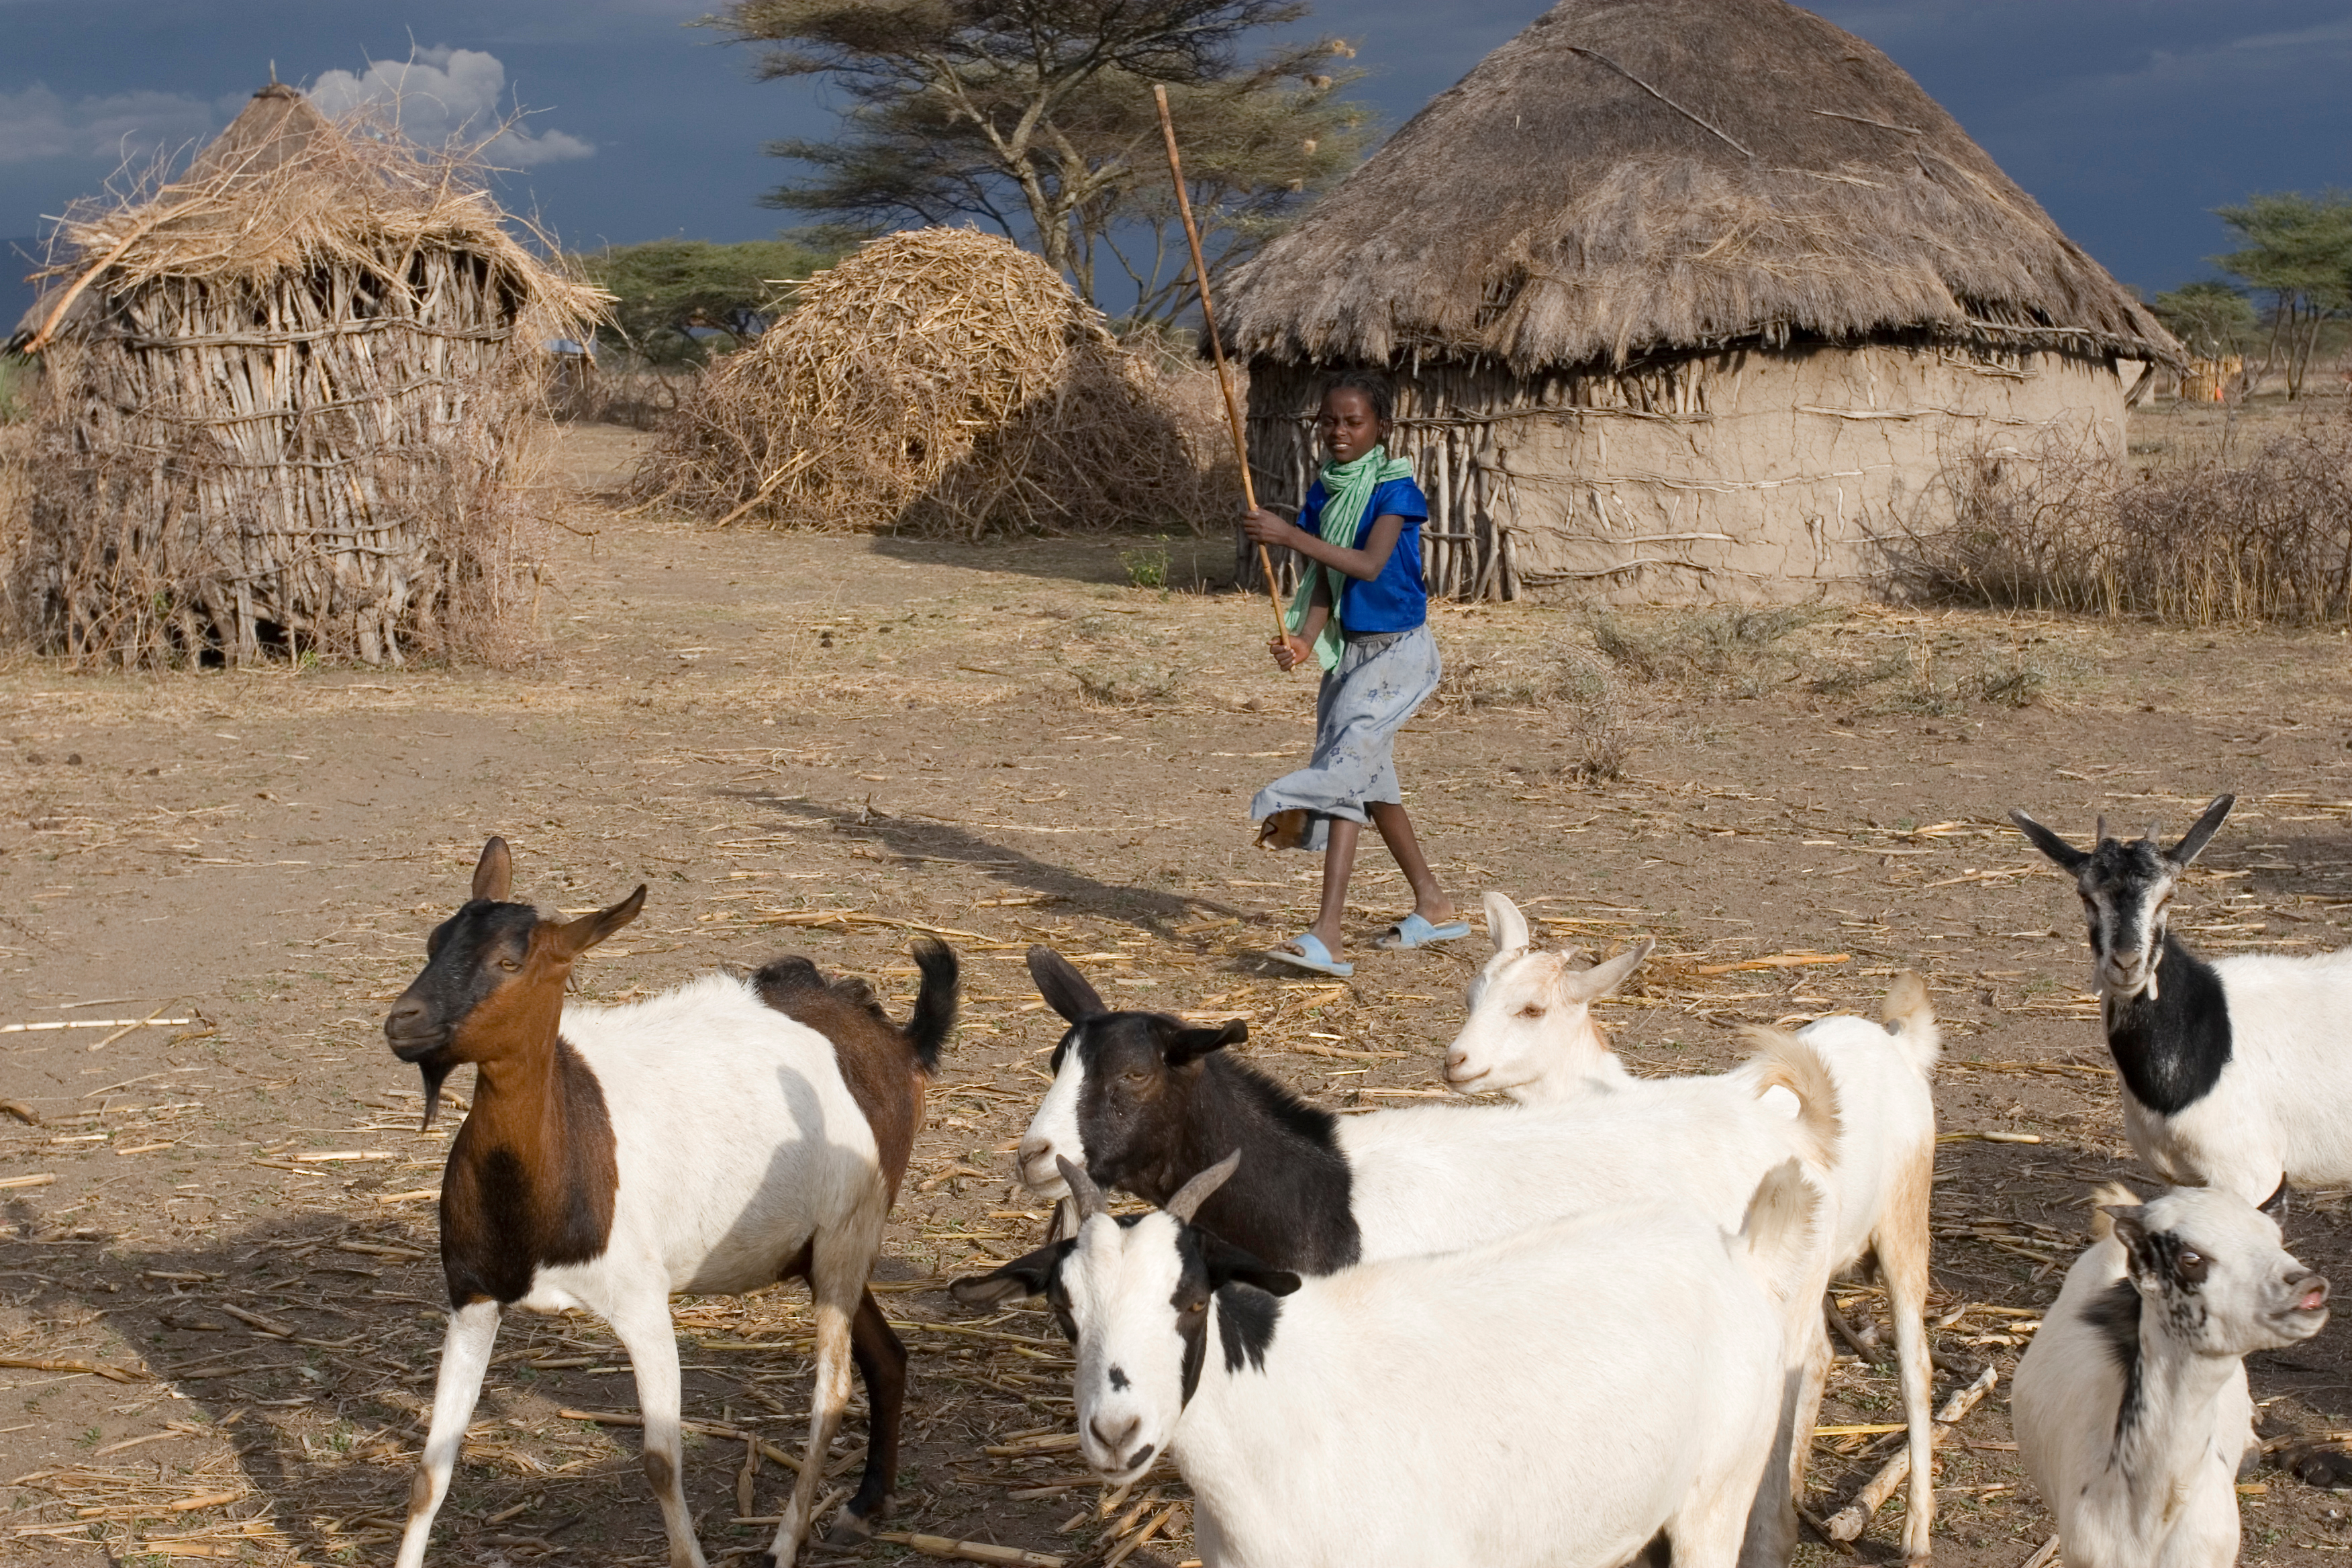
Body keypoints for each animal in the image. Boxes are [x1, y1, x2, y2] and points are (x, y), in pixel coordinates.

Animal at [382, 838, 957, 1568]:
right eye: (434, 941)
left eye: (508, 963)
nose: (403, 1021)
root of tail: (898, 1043)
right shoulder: (473, 1296)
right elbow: (431, 1471)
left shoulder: (642, 1304)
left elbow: (660, 1461)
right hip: (815, 1247)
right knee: (887, 1356)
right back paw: (864, 1504)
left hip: (849, 1233)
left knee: (831, 1390)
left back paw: (786, 1541)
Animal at [1448, 892, 1943, 1559]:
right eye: (1471, 996)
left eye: (1532, 1009)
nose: (1456, 1061)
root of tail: (1898, 1044)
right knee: (1815, 1355)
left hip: (1903, 1217)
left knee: (1912, 1364)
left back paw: (1915, 1529)